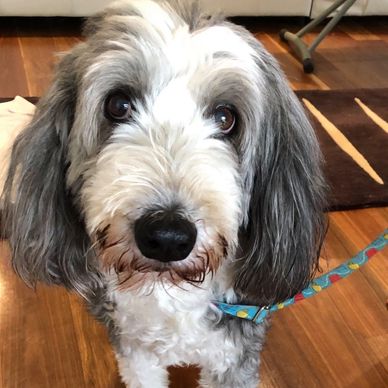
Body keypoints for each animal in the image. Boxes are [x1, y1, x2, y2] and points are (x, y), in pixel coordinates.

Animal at [0, 1, 328, 386]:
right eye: (118, 105)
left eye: (226, 118)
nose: (167, 237)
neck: (169, 290)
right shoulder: (134, 351)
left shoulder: (233, 357)